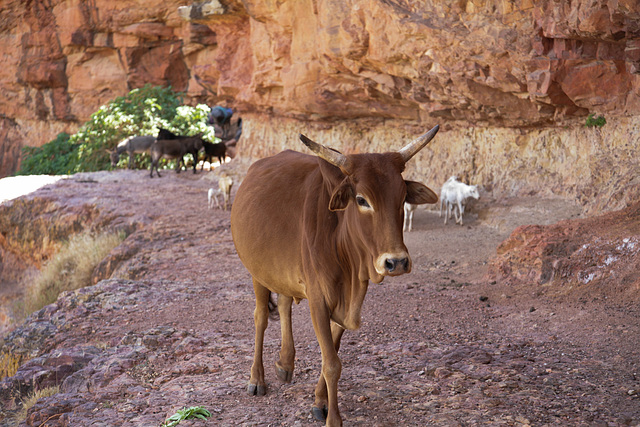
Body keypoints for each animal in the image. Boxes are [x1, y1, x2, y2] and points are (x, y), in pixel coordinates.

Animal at [230, 125, 440, 426]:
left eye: (402, 199)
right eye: (362, 200)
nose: (396, 262)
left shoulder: (348, 302)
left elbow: (333, 353)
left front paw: (320, 402)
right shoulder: (319, 300)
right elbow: (331, 363)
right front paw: (333, 419)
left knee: (284, 304)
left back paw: (285, 362)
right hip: (258, 272)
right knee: (260, 317)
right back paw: (257, 378)